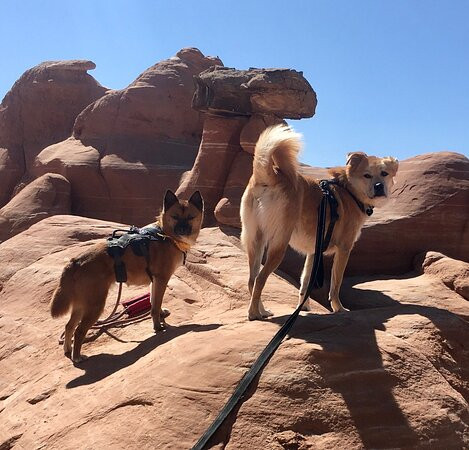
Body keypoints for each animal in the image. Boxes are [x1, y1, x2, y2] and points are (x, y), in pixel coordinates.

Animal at [49, 190, 203, 362]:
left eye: (190, 217)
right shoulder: (162, 279)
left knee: (69, 326)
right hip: (95, 305)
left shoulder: (155, 281)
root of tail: (76, 261)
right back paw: (77, 357)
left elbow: (153, 301)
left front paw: (161, 315)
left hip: (81, 305)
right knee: (79, 331)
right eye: (175, 216)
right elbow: (155, 306)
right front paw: (158, 327)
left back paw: (68, 350)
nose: (182, 229)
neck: (164, 234)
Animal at [239, 125, 396, 318]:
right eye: (367, 175)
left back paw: (262, 310)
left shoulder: (314, 252)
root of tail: (268, 175)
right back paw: (254, 313)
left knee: (252, 279)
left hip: (255, 240)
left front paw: (304, 307)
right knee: (260, 279)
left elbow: (305, 282)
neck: (349, 190)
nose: (379, 186)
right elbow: (336, 283)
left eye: (384, 174)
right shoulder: (344, 249)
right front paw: (339, 308)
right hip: (279, 243)